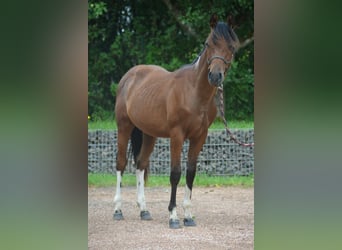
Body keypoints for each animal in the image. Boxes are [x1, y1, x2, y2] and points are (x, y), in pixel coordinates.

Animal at [113, 13, 239, 229]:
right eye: (208, 44)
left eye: (231, 46)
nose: (215, 76)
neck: (194, 93)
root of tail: (129, 77)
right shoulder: (177, 135)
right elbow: (175, 173)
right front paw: (173, 216)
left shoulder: (199, 137)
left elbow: (190, 173)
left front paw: (188, 215)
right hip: (124, 126)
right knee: (121, 163)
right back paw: (118, 210)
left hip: (149, 134)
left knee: (140, 164)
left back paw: (144, 210)